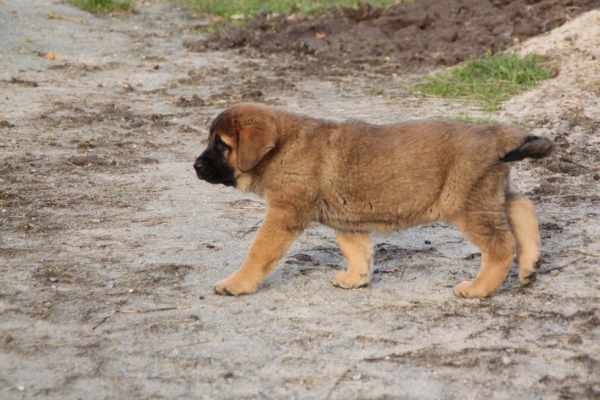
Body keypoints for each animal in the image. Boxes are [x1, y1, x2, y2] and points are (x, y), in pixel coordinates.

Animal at [195, 103, 556, 296]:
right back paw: (530, 266)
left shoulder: (284, 214)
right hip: (487, 194)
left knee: (500, 245)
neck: (284, 147)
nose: (195, 166)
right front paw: (356, 278)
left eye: (222, 145)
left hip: (466, 203)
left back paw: (479, 289)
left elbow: (258, 252)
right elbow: (356, 250)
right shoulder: (345, 216)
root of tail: (496, 134)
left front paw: (236, 283)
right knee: (522, 206)